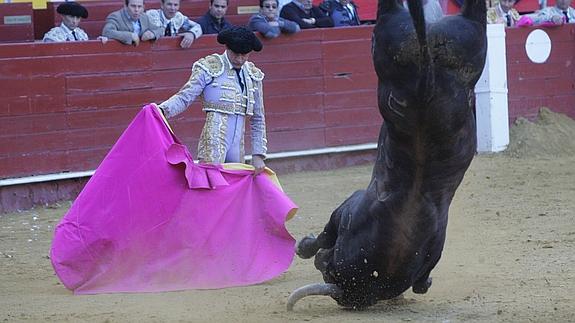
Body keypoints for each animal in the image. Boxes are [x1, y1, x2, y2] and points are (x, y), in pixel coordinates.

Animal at [286, 0, 486, 312]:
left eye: (329, 271)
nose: (322, 262)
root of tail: (427, 81)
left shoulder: (345, 211)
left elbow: (325, 233)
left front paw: (305, 246)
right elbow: (421, 284)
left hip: (389, 40)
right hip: (468, 45)